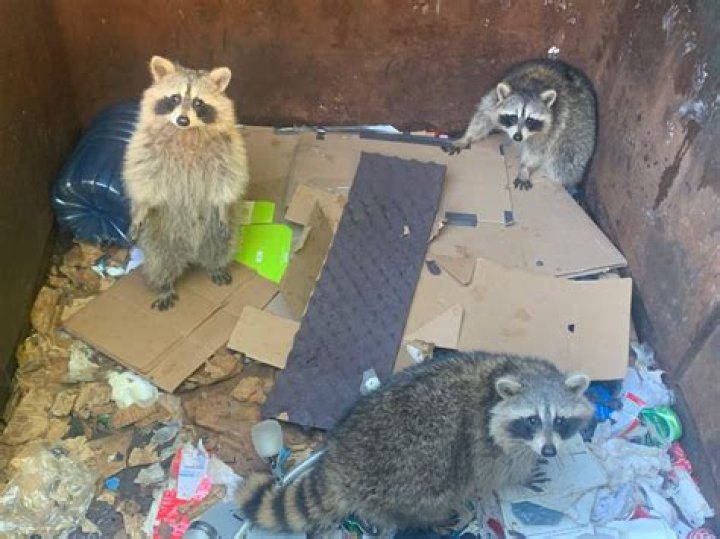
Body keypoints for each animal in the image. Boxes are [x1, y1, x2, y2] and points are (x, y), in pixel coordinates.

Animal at [123, 56, 248, 310]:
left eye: (199, 103)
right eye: (175, 98)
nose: (182, 119)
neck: (186, 132)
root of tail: (191, 252)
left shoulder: (228, 149)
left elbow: (226, 180)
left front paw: (222, 205)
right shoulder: (145, 147)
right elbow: (145, 180)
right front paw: (141, 209)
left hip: (217, 229)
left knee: (222, 244)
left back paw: (216, 264)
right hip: (158, 233)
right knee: (159, 260)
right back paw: (164, 285)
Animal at [236, 351, 593, 535]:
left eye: (559, 420)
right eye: (532, 420)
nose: (549, 450)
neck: (514, 373)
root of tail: (340, 461)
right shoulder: (486, 448)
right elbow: (501, 472)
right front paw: (524, 474)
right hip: (408, 481)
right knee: (425, 499)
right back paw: (429, 519)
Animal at [442, 58, 598, 192]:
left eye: (530, 120)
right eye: (513, 117)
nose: (517, 137)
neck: (530, 86)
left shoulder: (554, 122)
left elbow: (537, 148)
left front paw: (525, 167)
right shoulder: (494, 99)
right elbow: (483, 118)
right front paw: (466, 138)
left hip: (578, 128)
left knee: (563, 161)